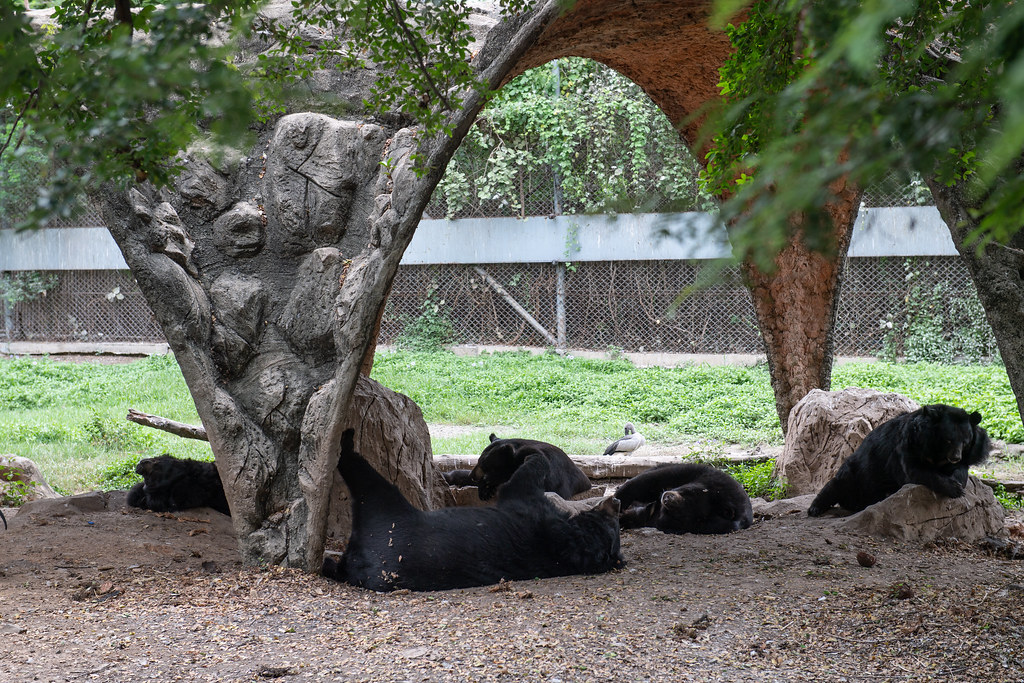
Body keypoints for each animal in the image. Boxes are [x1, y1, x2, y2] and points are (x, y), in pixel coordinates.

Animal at [323, 430, 618, 589]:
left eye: (486, 464)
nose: (615, 502)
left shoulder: (533, 503)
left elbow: (523, 481)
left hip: (386, 513)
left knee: (365, 479)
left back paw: (346, 441)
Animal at [806, 403, 991, 516]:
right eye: (948, 440)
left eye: (965, 442)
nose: (955, 457)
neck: (936, 451)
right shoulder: (909, 445)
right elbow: (914, 471)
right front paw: (954, 488)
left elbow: (961, 469)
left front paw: (957, 482)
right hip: (855, 471)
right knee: (835, 485)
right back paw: (815, 509)